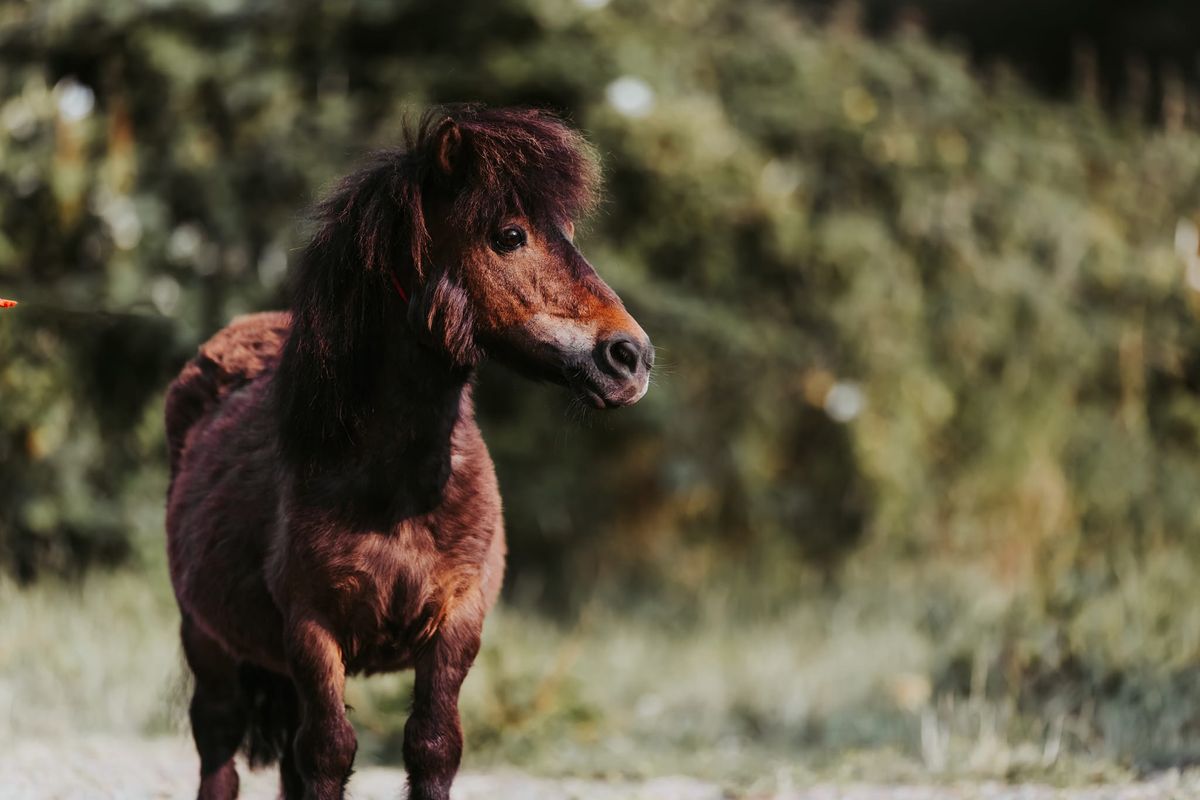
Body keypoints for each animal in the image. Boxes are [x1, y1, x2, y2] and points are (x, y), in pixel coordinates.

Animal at [164, 107, 652, 800]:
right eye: (509, 235)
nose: (630, 358)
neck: (395, 490)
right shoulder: (312, 630)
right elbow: (329, 752)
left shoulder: (457, 623)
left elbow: (432, 746)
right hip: (206, 641)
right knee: (220, 754)